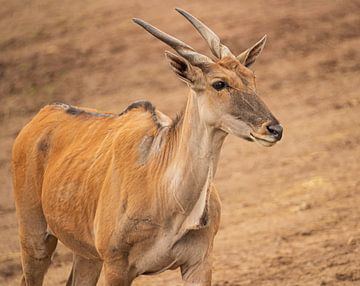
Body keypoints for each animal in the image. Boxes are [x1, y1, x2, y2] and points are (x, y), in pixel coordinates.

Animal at [11, 7, 282, 284]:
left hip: (86, 255)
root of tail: (42, 114)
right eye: (219, 83)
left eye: (251, 78)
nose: (274, 129)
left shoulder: (199, 262)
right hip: (35, 240)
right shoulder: (116, 266)